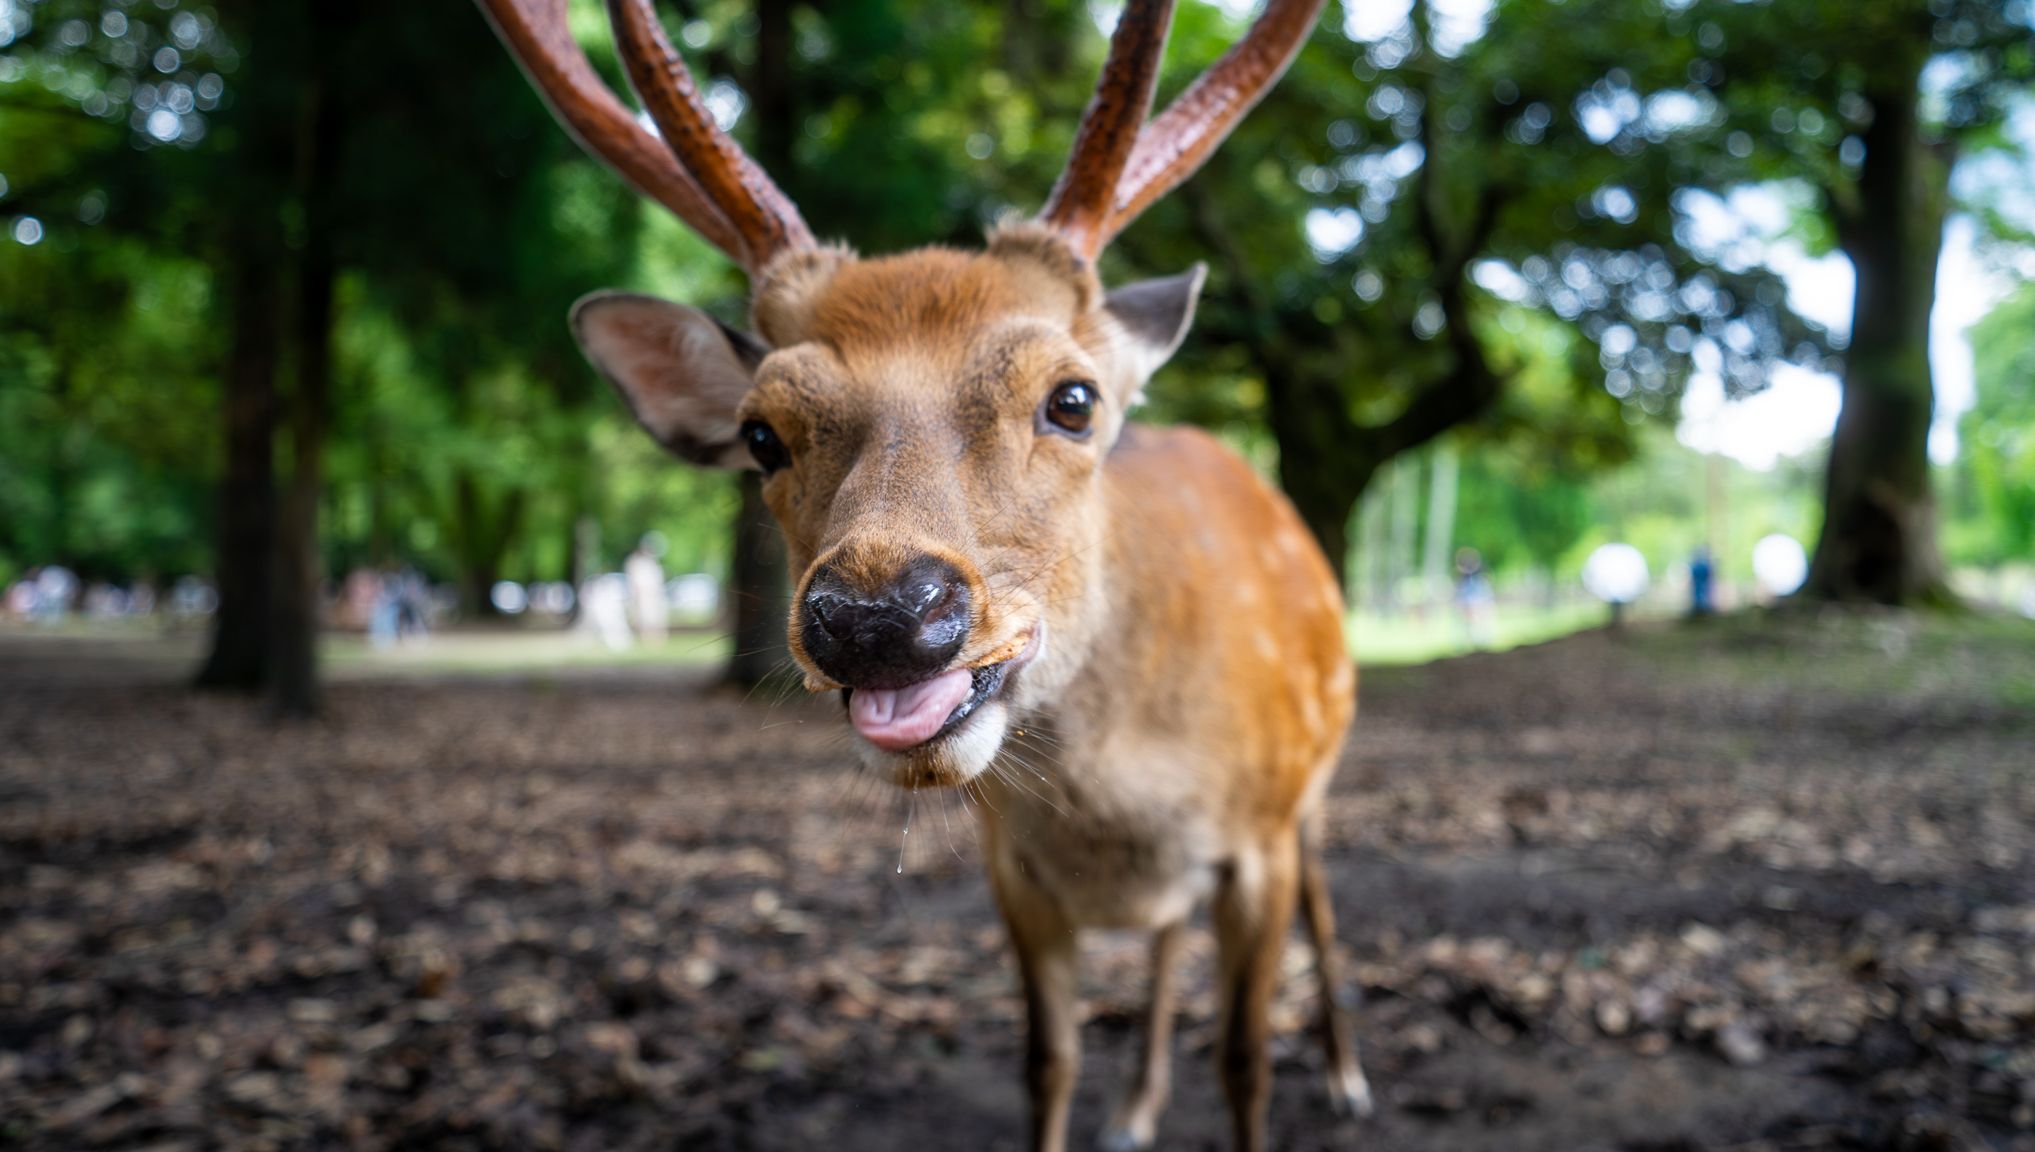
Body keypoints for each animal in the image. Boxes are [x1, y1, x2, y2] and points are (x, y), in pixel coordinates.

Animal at [474, 4, 1367, 1147]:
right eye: (760, 434)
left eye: (1072, 400)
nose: (880, 615)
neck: (1119, 820)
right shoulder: (1012, 871)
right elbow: (1048, 1061)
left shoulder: (1257, 840)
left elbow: (1247, 1061)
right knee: (1166, 942)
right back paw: (1135, 1106)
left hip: (1316, 779)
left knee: (1326, 910)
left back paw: (1344, 1076)